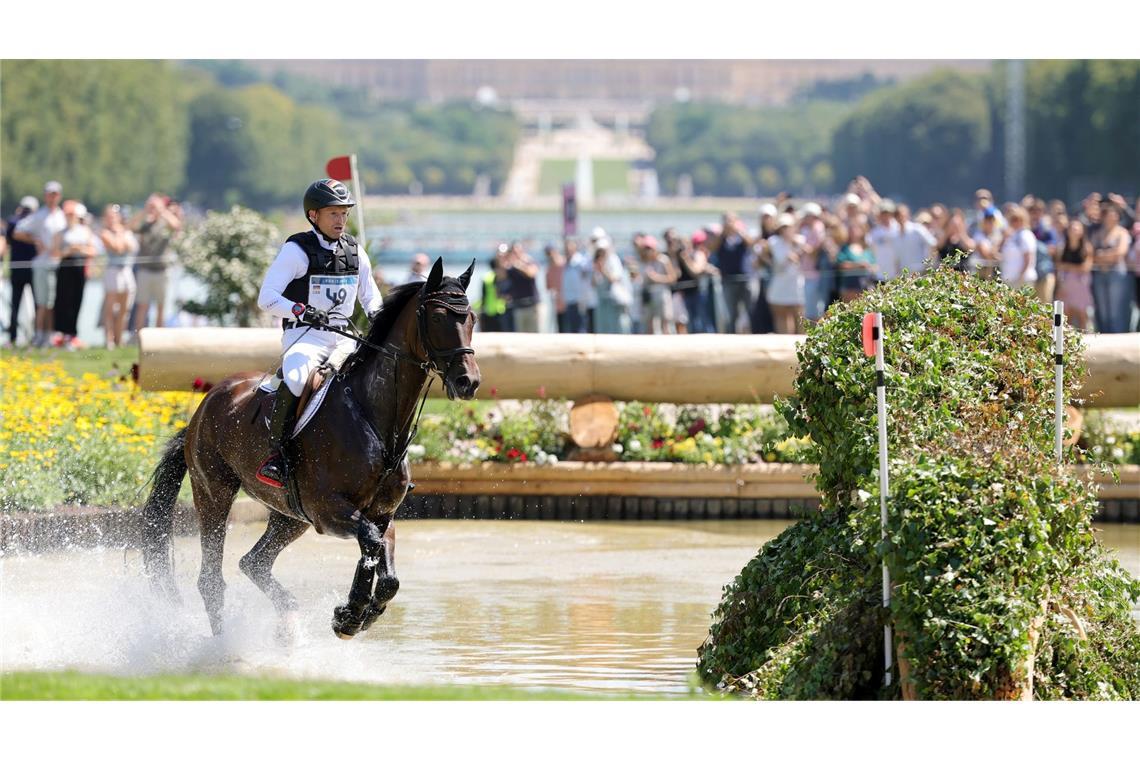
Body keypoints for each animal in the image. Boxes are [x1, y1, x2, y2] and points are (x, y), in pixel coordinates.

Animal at [143, 258, 481, 638]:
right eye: (437, 317)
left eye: (471, 318)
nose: (468, 382)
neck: (376, 421)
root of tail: (204, 407)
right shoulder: (328, 510)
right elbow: (370, 544)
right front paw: (350, 613)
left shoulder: (381, 515)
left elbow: (386, 570)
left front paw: (358, 614)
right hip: (214, 493)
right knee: (212, 580)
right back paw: (222, 643)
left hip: (290, 516)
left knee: (254, 562)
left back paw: (288, 615)